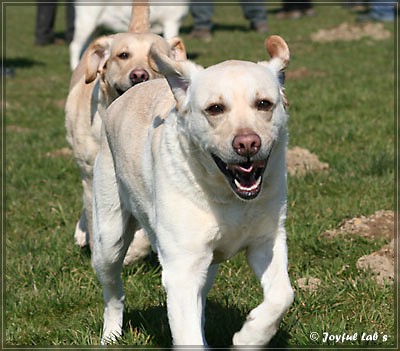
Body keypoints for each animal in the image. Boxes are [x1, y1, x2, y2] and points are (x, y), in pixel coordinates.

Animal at [93, 34, 294, 348]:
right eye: (215, 108)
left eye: (264, 103)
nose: (247, 143)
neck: (228, 197)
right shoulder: (181, 269)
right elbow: (186, 331)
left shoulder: (266, 241)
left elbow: (283, 295)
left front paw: (250, 337)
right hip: (109, 240)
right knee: (114, 293)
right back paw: (111, 335)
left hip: (206, 265)